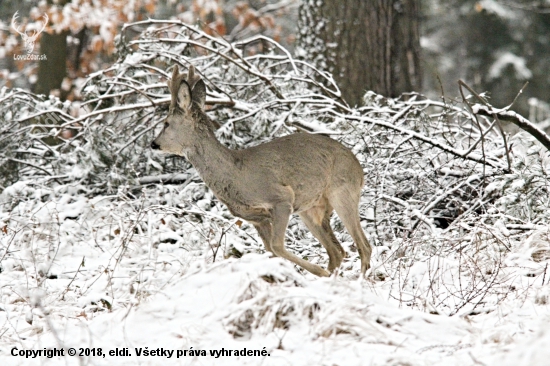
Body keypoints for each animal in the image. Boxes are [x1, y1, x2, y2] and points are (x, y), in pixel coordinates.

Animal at [153, 66, 374, 278]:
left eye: (166, 123)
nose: (154, 143)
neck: (235, 175)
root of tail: (359, 167)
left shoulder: (281, 198)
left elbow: (277, 246)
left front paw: (317, 271)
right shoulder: (257, 219)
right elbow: (270, 250)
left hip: (343, 191)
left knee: (364, 246)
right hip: (311, 209)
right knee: (337, 251)